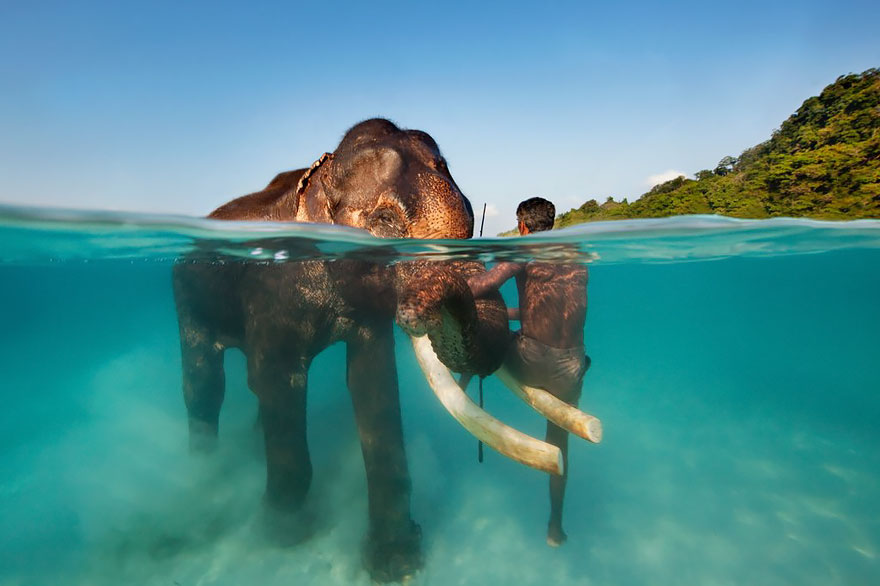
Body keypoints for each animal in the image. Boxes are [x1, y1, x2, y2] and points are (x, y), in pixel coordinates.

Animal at [172, 119, 592, 581]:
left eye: (471, 217)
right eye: (385, 220)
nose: (413, 308)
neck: (318, 177)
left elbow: (373, 381)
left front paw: (396, 562)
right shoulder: (271, 292)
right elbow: (275, 378)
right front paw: (285, 533)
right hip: (187, 301)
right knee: (206, 385)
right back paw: (204, 475)